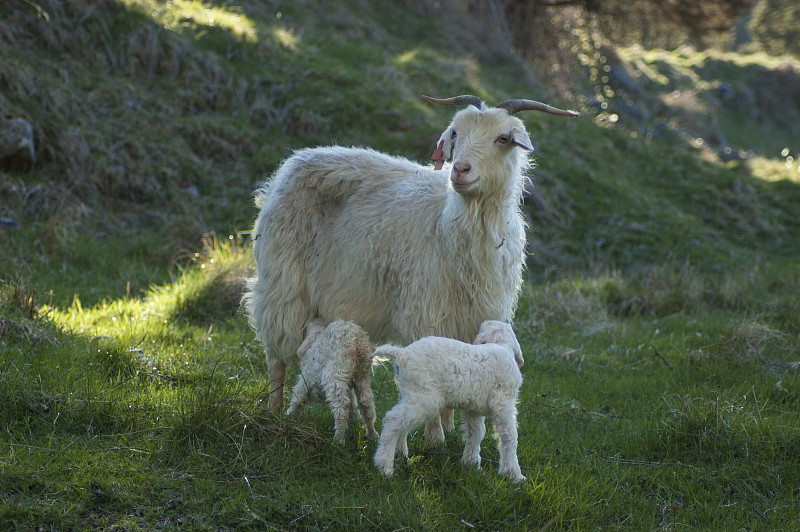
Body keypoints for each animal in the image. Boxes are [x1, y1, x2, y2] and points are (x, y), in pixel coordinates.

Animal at [244, 92, 576, 424]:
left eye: (503, 138)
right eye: (456, 134)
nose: (459, 169)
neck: (453, 223)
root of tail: (295, 161)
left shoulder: (477, 315)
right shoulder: (426, 312)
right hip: (283, 284)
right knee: (275, 356)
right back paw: (274, 410)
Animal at [374, 320, 524, 482]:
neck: (499, 344)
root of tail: (402, 354)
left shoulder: (472, 409)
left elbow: (476, 433)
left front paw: (470, 464)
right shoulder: (503, 404)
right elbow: (509, 436)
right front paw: (513, 474)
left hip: (410, 395)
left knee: (402, 425)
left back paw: (401, 455)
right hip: (425, 399)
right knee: (392, 420)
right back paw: (384, 466)